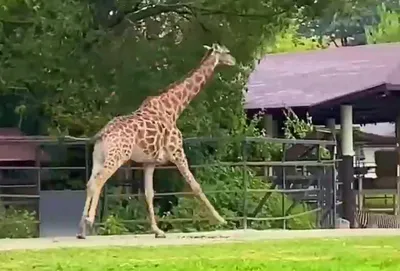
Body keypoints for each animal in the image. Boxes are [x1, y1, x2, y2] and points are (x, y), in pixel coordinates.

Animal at [76, 43, 236, 240]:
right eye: (226, 52)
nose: (233, 61)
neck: (174, 109)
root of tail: (102, 135)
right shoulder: (177, 152)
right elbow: (195, 186)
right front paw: (221, 220)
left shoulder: (150, 162)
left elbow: (149, 193)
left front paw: (157, 230)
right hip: (117, 157)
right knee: (99, 181)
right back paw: (89, 222)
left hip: (98, 158)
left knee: (90, 183)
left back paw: (81, 229)